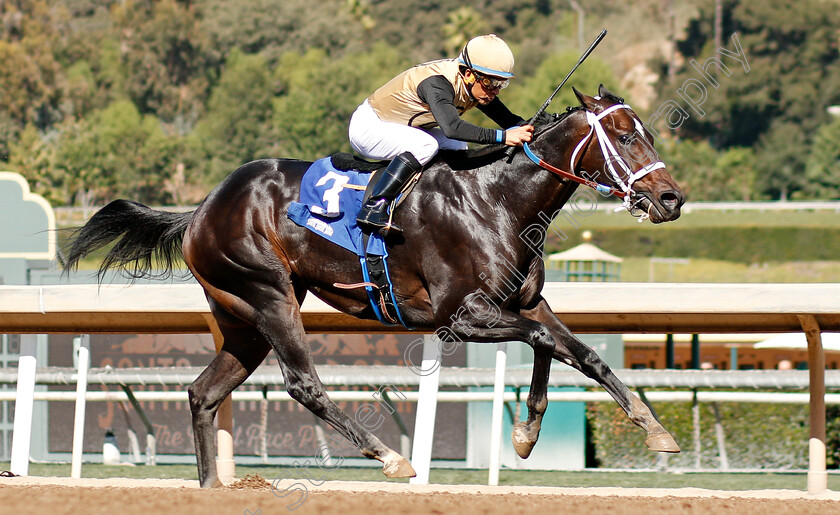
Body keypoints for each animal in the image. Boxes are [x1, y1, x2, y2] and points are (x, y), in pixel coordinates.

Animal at [65, 86, 684, 490]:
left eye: (649, 133)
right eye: (624, 135)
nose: (672, 199)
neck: (497, 199)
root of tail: (200, 210)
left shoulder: (526, 302)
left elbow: (576, 351)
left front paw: (642, 428)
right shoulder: (461, 316)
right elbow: (544, 342)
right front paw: (530, 431)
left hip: (242, 320)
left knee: (202, 393)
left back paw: (211, 489)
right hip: (270, 294)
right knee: (303, 385)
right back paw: (390, 457)